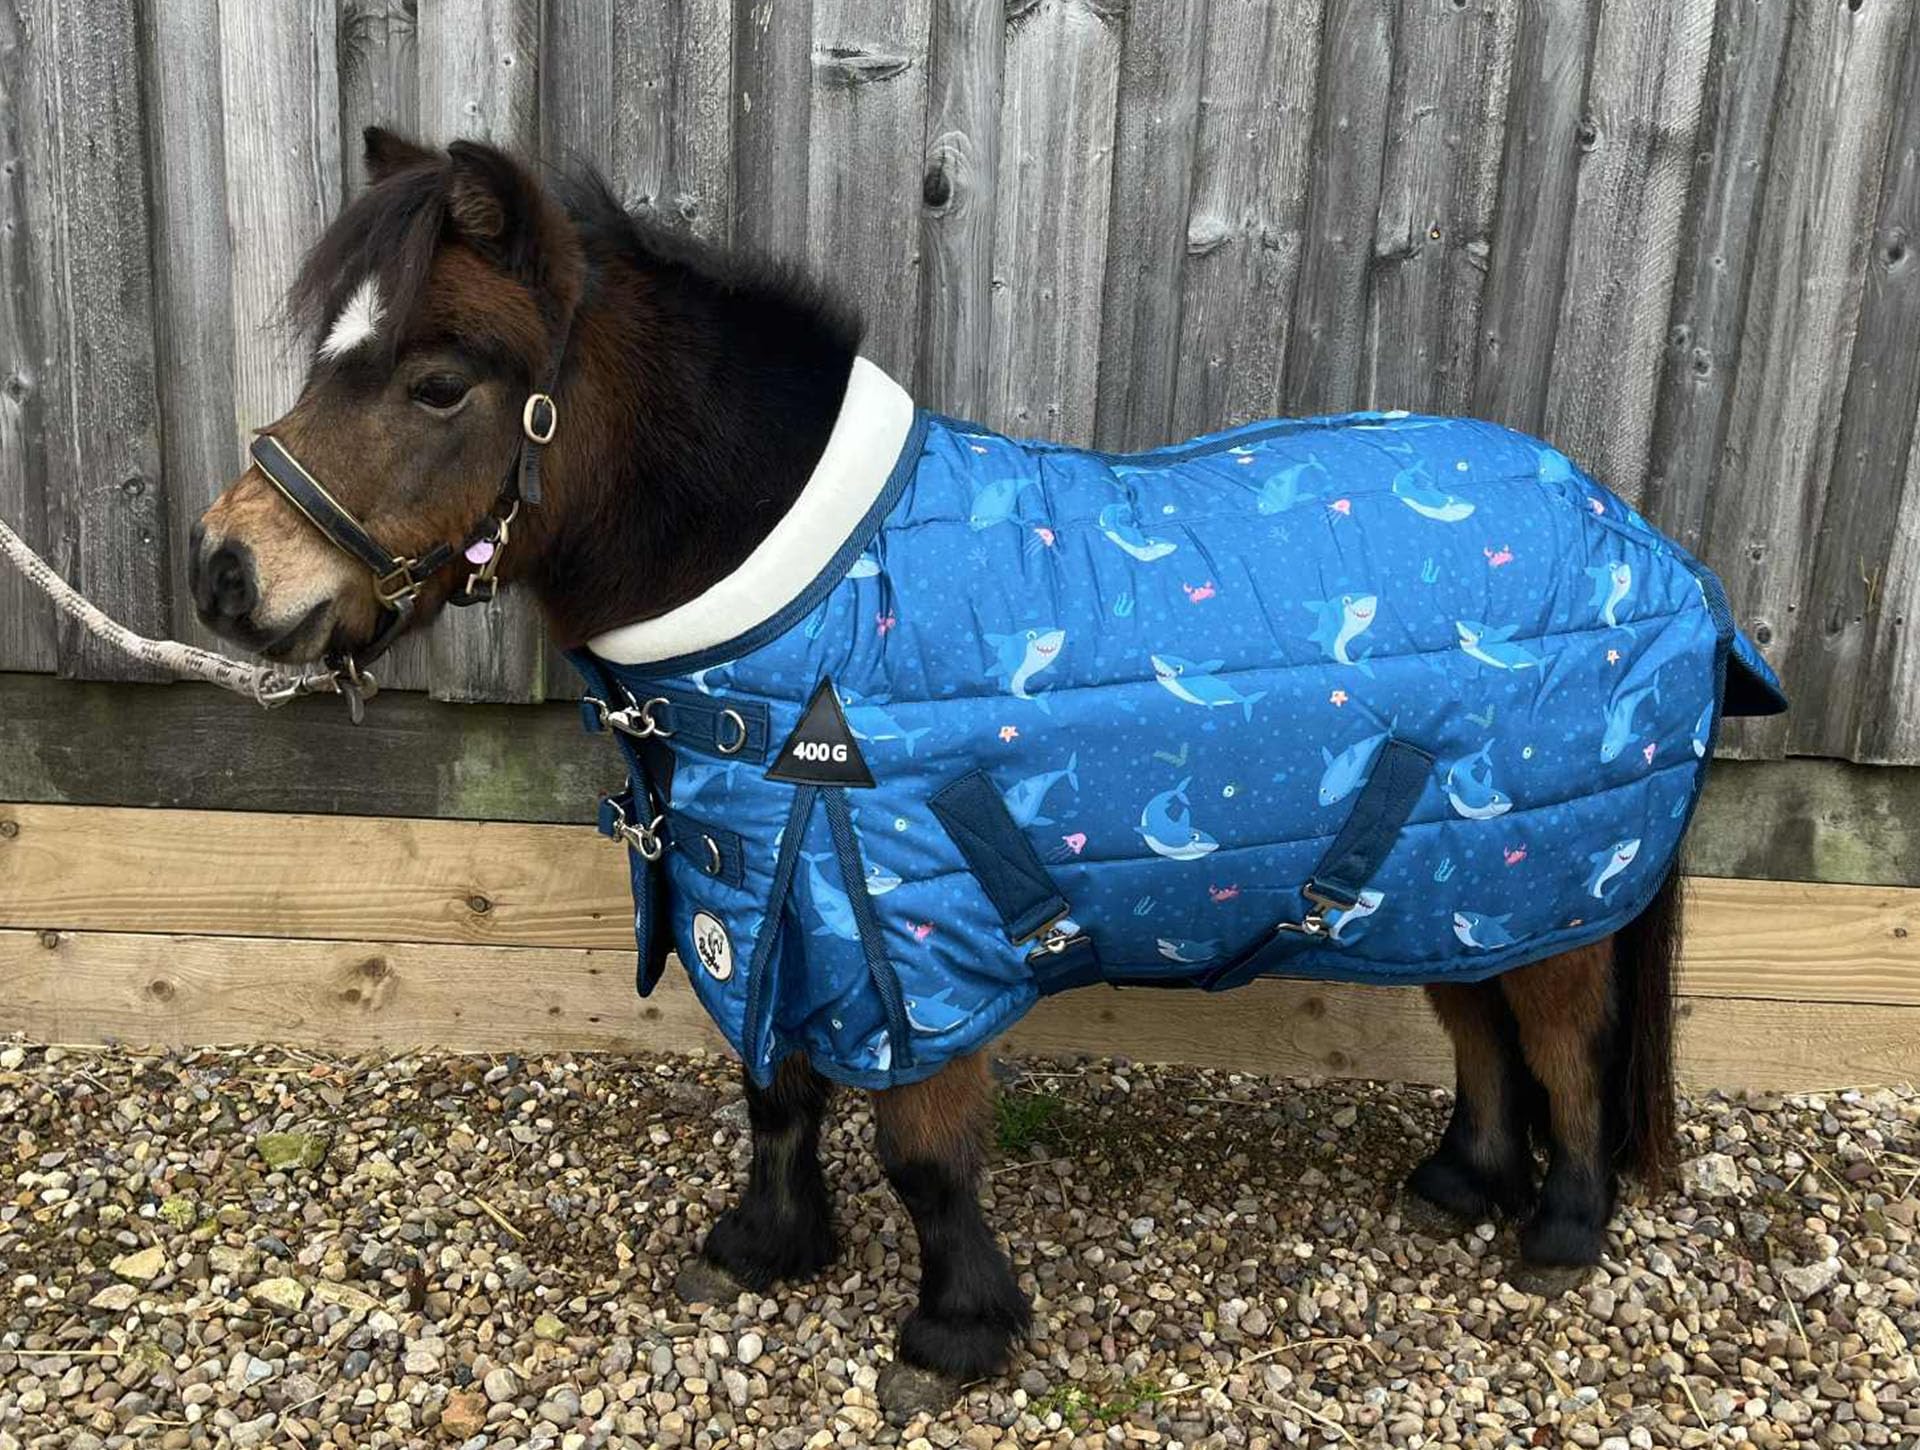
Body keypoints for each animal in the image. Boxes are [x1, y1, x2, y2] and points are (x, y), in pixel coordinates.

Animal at [193, 129, 1701, 1415]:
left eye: (439, 382)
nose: (226, 571)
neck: (809, 616)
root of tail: (1648, 539)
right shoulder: (771, 892)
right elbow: (778, 1093)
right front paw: (762, 1246)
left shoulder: (911, 939)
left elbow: (919, 1150)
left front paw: (954, 1332)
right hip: (1462, 882)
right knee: (1481, 1032)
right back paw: (1459, 1183)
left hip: (1551, 884)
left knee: (1564, 1047)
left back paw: (1562, 1228)